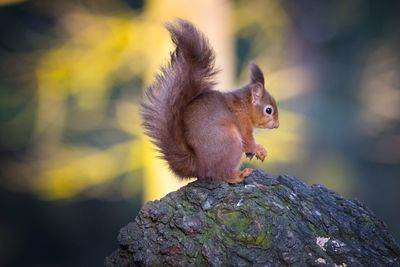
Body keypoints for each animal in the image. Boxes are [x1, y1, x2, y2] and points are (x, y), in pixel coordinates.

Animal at [141, 19, 278, 184]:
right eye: (268, 110)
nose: (277, 125)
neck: (244, 106)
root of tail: (199, 165)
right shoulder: (243, 123)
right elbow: (248, 142)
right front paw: (259, 149)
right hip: (230, 142)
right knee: (221, 174)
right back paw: (238, 176)